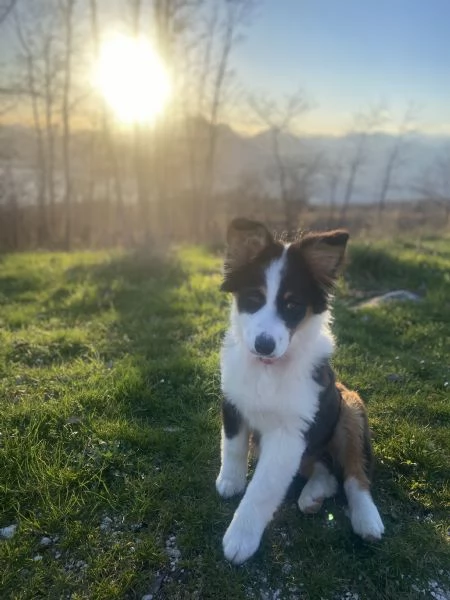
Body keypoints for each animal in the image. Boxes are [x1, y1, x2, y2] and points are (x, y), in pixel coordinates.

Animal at [216, 218, 384, 564]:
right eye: (253, 299)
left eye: (292, 306)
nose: (264, 345)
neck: (268, 369)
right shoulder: (233, 401)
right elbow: (233, 446)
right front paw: (229, 481)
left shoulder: (289, 434)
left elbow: (263, 488)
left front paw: (240, 539)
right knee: (327, 472)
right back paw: (313, 495)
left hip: (349, 408)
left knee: (354, 473)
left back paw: (367, 520)